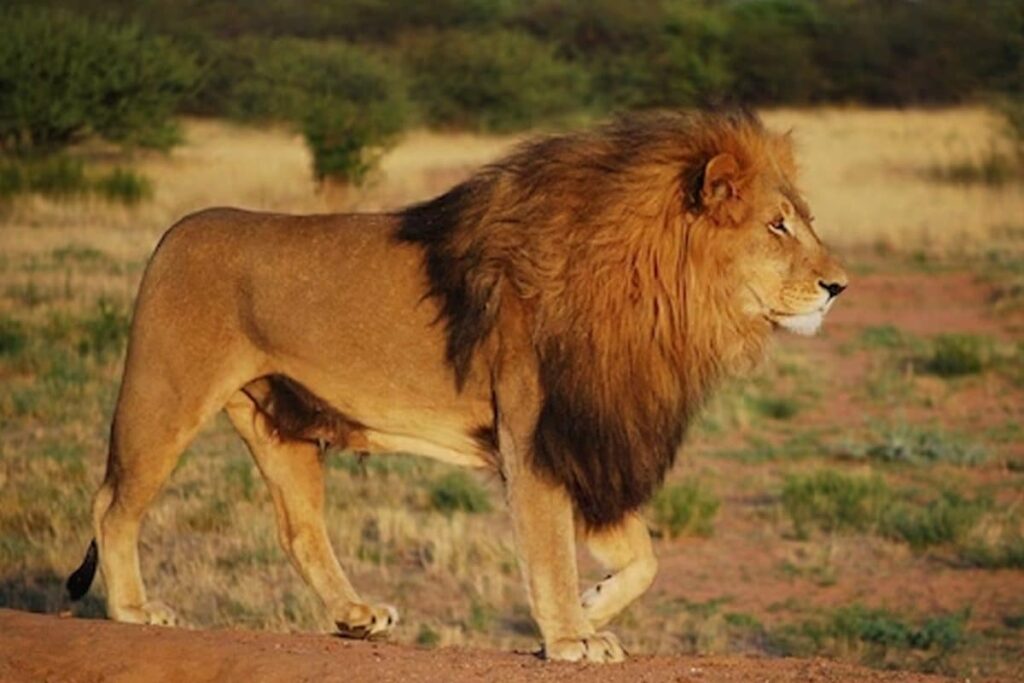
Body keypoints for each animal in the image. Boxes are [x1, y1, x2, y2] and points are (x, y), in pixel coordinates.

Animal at [66, 110, 847, 662]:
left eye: (803, 222)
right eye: (777, 226)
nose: (839, 286)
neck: (659, 298)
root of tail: (173, 231)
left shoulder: (586, 436)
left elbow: (644, 558)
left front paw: (589, 607)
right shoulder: (538, 434)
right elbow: (550, 547)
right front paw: (569, 637)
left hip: (280, 422)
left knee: (299, 530)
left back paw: (356, 616)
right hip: (164, 395)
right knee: (113, 503)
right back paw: (134, 609)